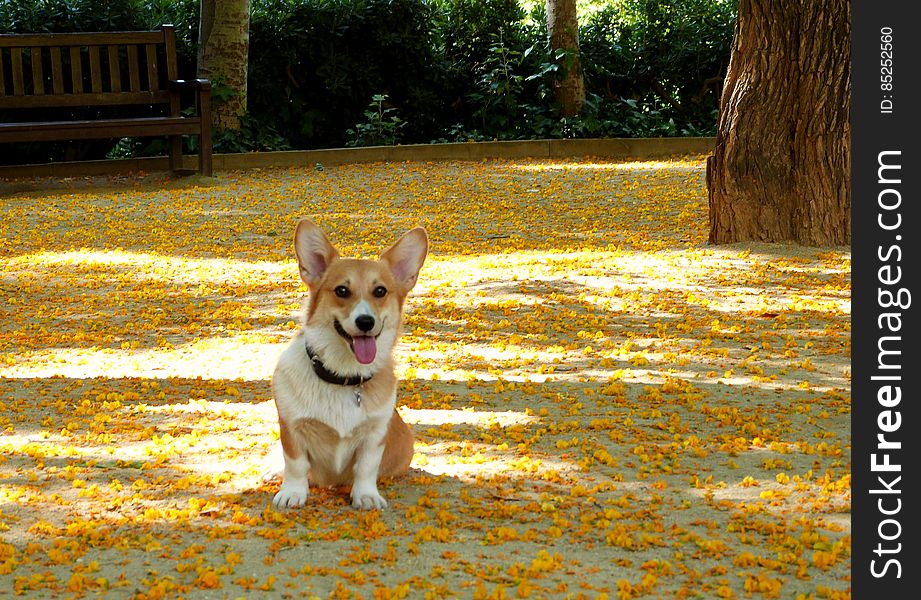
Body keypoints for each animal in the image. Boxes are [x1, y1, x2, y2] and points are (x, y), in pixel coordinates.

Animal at [270, 218, 428, 508]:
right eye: (342, 290)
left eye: (380, 291)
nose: (365, 322)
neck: (343, 376)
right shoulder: (291, 427)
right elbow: (296, 465)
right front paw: (292, 493)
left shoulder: (375, 434)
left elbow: (366, 467)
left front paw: (365, 496)